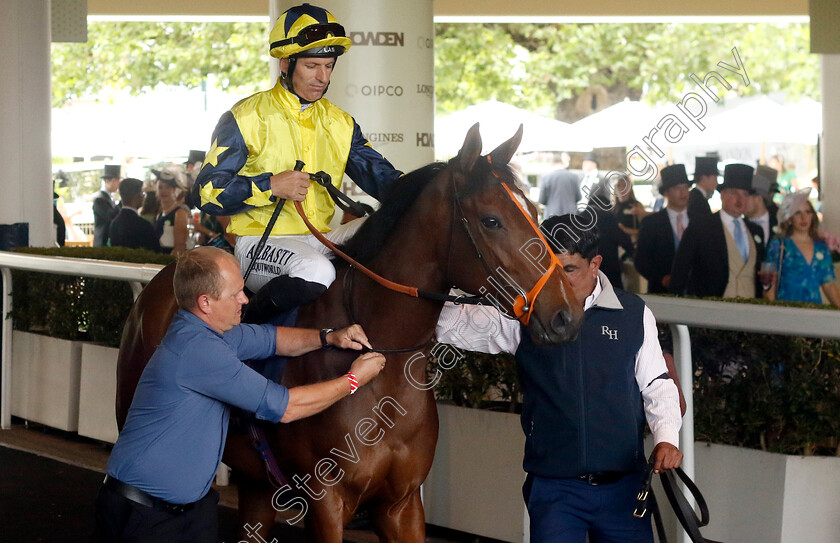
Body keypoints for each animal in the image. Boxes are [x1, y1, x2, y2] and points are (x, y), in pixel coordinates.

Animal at [116, 125, 584, 540]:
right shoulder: (325, 502)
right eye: (491, 221)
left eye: (535, 212)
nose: (566, 313)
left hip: (257, 482)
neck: (388, 370)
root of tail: (167, 275)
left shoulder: (402, 505)